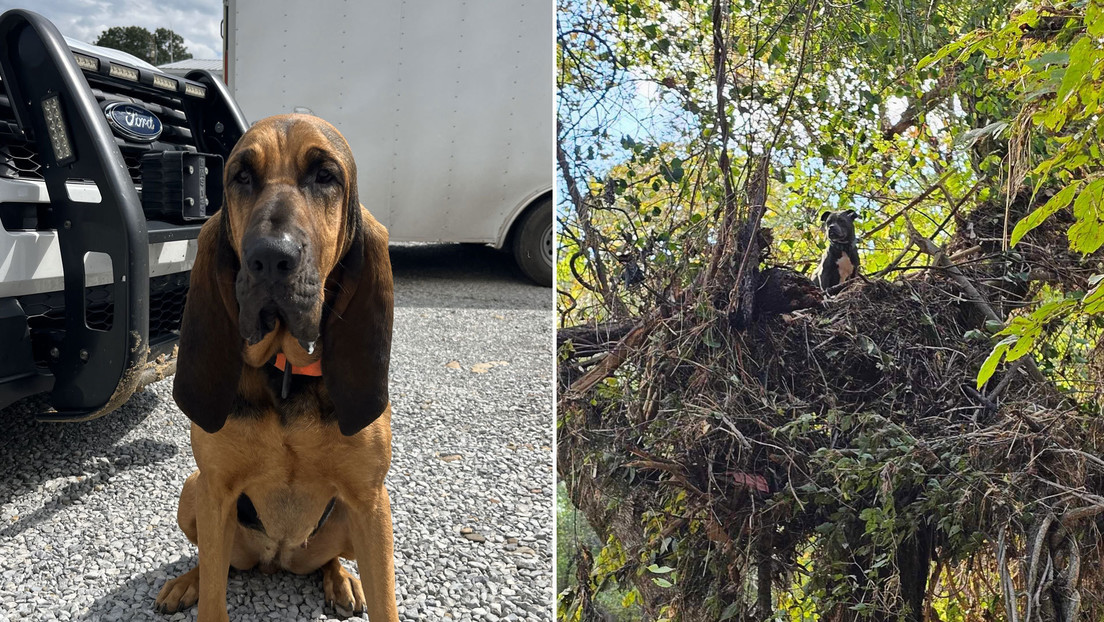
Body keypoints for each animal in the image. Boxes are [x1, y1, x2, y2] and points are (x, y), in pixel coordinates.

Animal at [153, 114, 397, 618]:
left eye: (326, 175)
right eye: (241, 176)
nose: (269, 257)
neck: (285, 370)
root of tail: (277, 559)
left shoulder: (370, 501)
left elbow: (387, 603)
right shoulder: (216, 491)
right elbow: (213, 598)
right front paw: (197, 589)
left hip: (345, 523)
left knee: (328, 560)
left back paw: (341, 580)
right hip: (194, 493)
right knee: (212, 563)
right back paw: (185, 583)